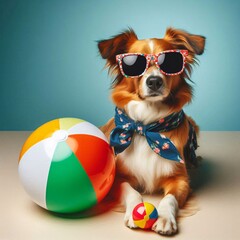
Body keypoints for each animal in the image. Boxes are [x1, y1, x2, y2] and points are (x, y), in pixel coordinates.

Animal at [97, 27, 204, 234]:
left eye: (170, 62)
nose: (154, 81)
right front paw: (134, 212)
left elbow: (169, 199)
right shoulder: (118, 178)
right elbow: (131, 192)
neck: (147, 125)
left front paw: (164, 218)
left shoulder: (180, 180)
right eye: (134, 64)